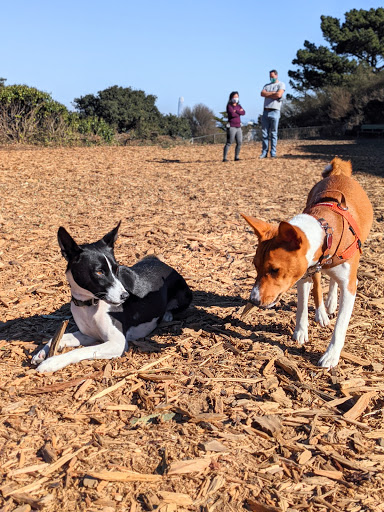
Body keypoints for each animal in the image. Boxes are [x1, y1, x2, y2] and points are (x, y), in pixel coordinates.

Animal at [31, 222, 192, 374]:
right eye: (99, 272)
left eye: (117, 268)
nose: (126, 296)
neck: (89, 305)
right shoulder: (89, 335)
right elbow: (61, 337)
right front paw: (41, 352)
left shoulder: (117, 343)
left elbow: (81, 350)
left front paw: (52, 362)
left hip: (185, 295)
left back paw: (167, 315)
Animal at [243, 157, 372, 368]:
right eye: (255, 266)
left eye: (275, 269)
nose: (253, 300)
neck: (326, 231)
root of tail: (339, 174)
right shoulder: (303, 274)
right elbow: (303, 305)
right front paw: (301, 332)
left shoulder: (350, 285)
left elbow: (341, 326)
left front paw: (331, 356)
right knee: (320, 284)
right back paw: (323, 311)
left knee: (333, 281)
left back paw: (330, 305)